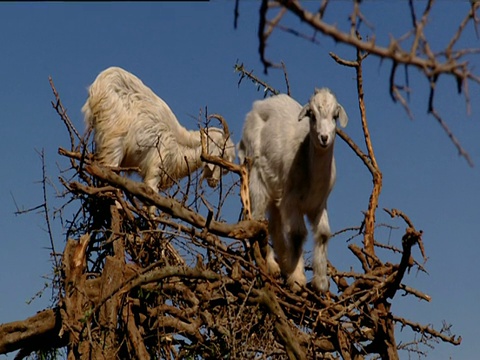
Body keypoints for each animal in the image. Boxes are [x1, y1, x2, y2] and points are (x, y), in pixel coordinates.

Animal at [83, 65, 236, 204]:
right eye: (222, 154)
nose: (214, 182)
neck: (180, 143)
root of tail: (99, 84)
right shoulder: (156, 169)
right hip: (114, 141)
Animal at [237, 89, 346, 292]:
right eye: (312, 115)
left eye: (335, 116)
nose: (324, 138)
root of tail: (257, 106)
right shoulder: (291, 200)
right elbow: (297, 234)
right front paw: (297, 279)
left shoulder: (319, 204)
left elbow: (323, 234)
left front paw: (320, 282)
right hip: (256, 172)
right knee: (258, 219)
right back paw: (272, 265)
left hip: (276, 190)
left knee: (273, 224)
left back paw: (282, 263)